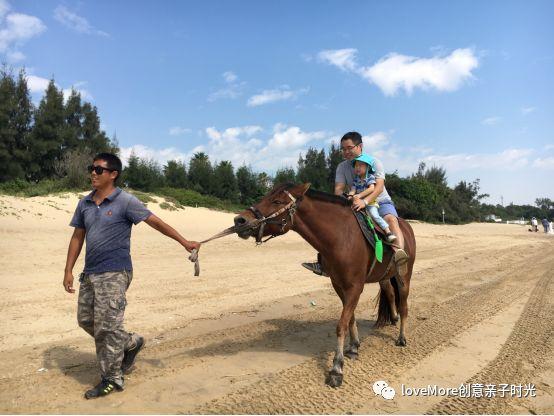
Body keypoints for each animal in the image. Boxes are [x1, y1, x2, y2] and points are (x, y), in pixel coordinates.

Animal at [232, 182, 414, 386]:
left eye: (277, 201)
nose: (240, 220)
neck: (341, 237)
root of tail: (406, 227)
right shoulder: (339, 285)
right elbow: (349, 319)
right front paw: (353, 347)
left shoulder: (355, 287)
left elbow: (341, 325)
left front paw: (337, 368)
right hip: (384, 277)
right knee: (390, 293)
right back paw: (393, 320)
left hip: (404, 277)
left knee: (404, 306)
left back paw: (401, 338)